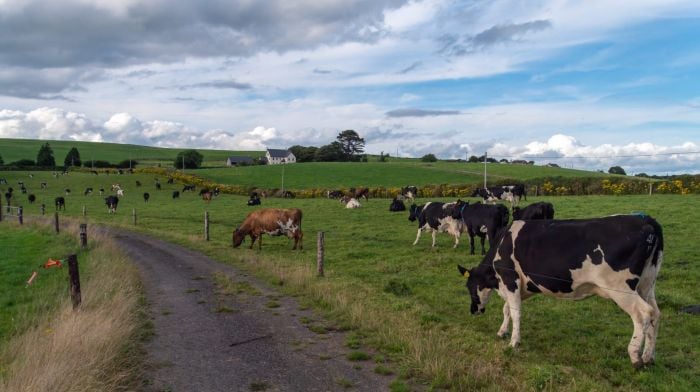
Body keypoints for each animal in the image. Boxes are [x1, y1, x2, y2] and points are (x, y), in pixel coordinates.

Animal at [456, 214, 664, 368]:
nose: (473, 310)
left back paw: (635, 356)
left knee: (643, 313)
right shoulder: (518, 286)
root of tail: (645, 220)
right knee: (655, 314)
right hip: (646, 285)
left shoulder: (510, 279)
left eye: (469, 287)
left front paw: (514, 342)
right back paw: (648, 357)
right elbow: (507, 309)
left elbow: (515, 312)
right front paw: (502, 332)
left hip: (621, 288)